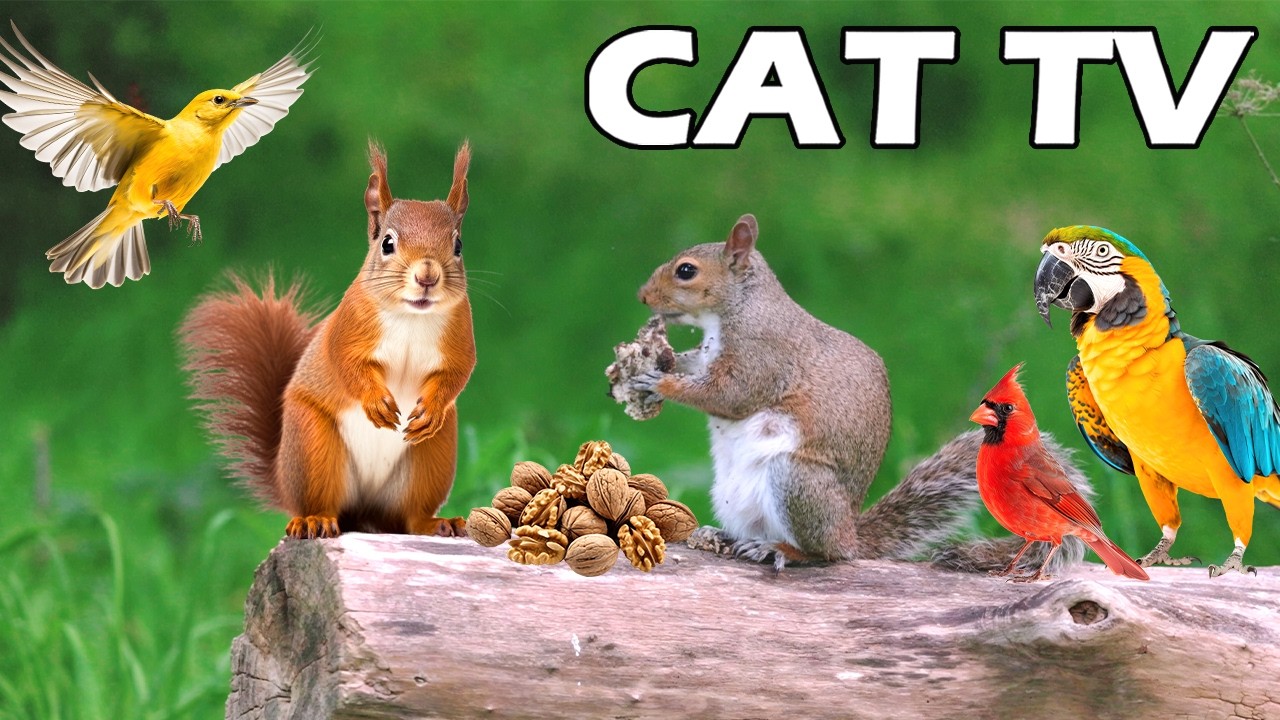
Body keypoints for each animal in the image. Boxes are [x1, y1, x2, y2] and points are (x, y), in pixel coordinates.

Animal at [180, 141, 476, 539]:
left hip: (433, 456)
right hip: (314, 446)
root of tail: (366, 513)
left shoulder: (460, 334)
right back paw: (314, 520)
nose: (427, 276)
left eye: (458, 244)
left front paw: (432, 408)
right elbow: (346, 363)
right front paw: (376, 402)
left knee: (410, 516)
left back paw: (436, 523)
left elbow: (459, 371)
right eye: (387, 243)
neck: (412, 318)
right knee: (322, 502)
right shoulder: (347, 328)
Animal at [630, 213, 1091, 571]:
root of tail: (849, 534)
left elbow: (729, 396)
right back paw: (727, 537)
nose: (641, 296)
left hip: (798, 481)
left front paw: (657, 381)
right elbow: (696, 366)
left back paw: (781, 550)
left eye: (686, 271)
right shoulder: (709, 354)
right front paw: (658, 362)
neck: (740, 308)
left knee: (823, 554)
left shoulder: (762, 357)